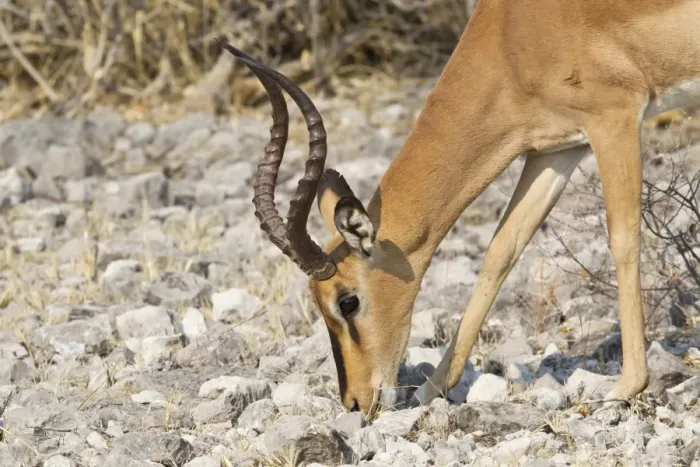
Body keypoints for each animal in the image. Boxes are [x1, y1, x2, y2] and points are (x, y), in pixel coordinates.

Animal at [217, 0, 700, 416]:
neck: (511, 32)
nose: (355, 402)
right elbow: (501, 250)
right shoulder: (556, 149)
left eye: (347, 301)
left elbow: (623, 239)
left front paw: (626, 386)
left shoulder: (614, 120)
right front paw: (430, 391)